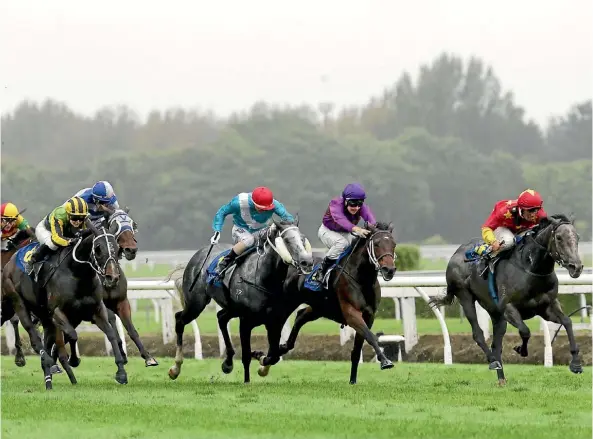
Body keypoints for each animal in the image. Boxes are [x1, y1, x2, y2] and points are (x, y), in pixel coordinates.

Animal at [1, 222, 127, 390]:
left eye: (118, 248)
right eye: (98, 248)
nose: (112, 277)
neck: (77, 273)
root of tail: (10, 263)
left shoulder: (96, 310)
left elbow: (111, 334)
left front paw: (121, 372)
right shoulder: (57, 312)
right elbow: (72, 335)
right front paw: (74, 360)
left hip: (43, 316)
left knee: (47, 342)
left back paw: (49, 379)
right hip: (18, 303)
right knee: (34, 338)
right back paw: (41, 362)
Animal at [166, 218, 314, 384]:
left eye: (302, 239)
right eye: (287, 240)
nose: (307, 262)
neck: (264, 278)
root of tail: (198, 254)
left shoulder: (274, 321)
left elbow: (274, 355)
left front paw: (261, 360)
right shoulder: (245, 321)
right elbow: (247, 355)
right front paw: (247, 380)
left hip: (230, 308)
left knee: (221, 318)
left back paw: (228, 362)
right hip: (196, 303)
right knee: (180, 319)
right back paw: (175, 368)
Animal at [428, 214, 584, 384]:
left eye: (577, 237)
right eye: (559, 237)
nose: (576, 267)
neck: (531, 269)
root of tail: (456, 252)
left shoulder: (547, 307)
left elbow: (567, 322)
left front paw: (576, 364)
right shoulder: (508, 308)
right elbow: (525, 330)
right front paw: (521, 349)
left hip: (494, 311)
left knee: (496, 344)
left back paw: (501, 379)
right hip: (465, 296)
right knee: (478, 334)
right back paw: (493, 361)